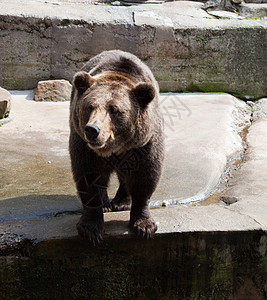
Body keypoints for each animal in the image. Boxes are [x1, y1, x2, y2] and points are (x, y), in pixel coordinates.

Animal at [70, 49, 164, 244]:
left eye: (114, 109)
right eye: (89, 106)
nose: (92, 130)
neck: (115, 147)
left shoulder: (144, 144)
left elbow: (145, 176)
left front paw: (144, 225)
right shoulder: (84, 146)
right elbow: (88, 177)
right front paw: (91, 228)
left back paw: (122, 202)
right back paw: (106, 204)